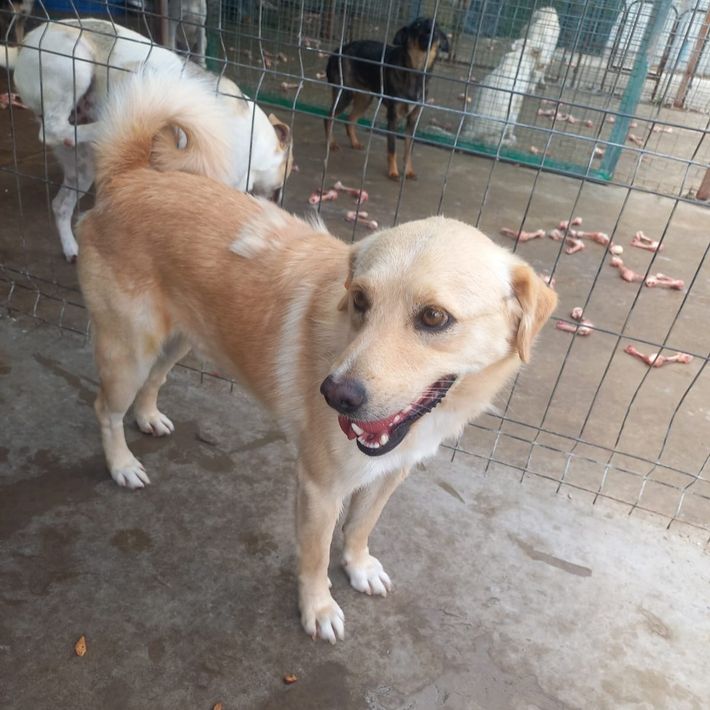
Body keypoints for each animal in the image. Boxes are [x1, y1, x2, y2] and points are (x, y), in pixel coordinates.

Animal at [3, 18, 292, 261]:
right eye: (281, 186)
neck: (255, 147)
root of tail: (23, 44)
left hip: (82, 169)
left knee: (61, 202)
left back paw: (71, 247)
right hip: (77, 64)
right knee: (52, 128)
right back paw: (110, 123)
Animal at [76, 67, 556, 643]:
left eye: (434, 318)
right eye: (360, 300)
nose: (334, 395)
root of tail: (129, 175)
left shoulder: (390, 473)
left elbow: (360, 527)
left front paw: (359, 565)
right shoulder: (320, 488)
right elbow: (313, 556)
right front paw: (318, 608)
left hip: (180, 340)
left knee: (154, 384)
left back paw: (148, 418)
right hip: (128, 351)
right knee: (106, 409)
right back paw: (122, 464)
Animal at [324, 16, 449, 180]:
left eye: (437, 26)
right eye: (417, 24)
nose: (430, 26)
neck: (417, 71)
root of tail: (339, 50)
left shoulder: (413, 120)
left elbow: (408, 151)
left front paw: (408, 171)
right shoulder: (393, 118)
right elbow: (392, 149)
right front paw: (393, 172)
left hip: (365, 98)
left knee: (350, 119)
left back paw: (355, 143)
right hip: (345, 94)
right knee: (329, 117)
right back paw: (331, 143)